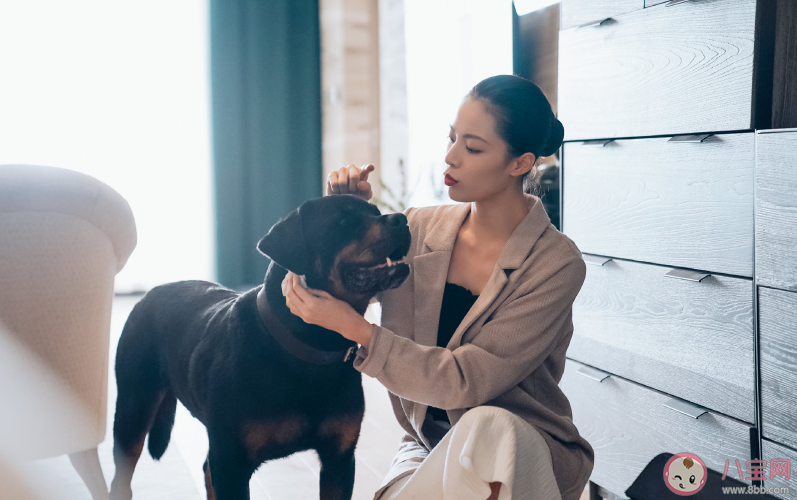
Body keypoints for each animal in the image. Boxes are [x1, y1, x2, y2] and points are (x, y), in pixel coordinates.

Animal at [110, 195, 410, 500]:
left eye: (375, 211)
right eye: (343, 221)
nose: (401, 219)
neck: (308, 347)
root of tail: (150, 292)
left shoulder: (339, 459)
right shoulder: (232, 463)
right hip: (134, 406)